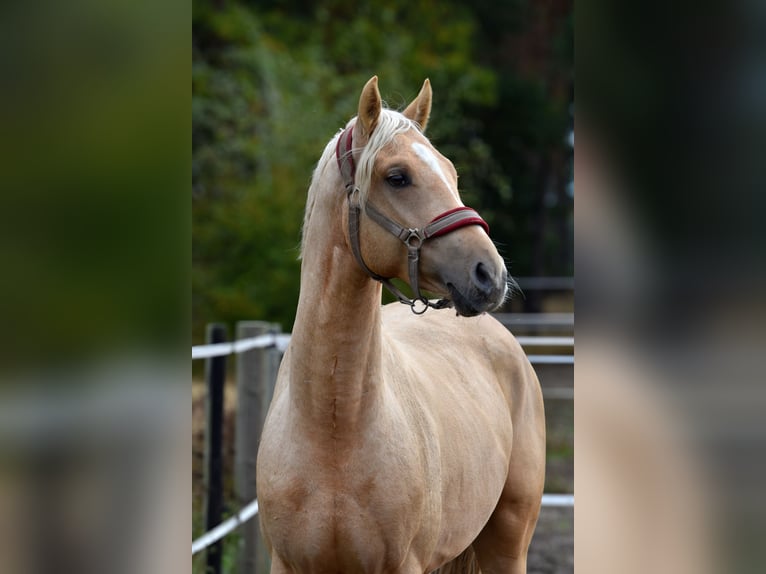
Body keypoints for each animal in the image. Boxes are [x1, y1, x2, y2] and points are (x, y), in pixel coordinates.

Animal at [258, 77, 544, 574]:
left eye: (451, 173)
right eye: (397, 177)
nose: (490, 275)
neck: (333, 427)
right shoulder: (286, 564)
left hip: (509, 543)